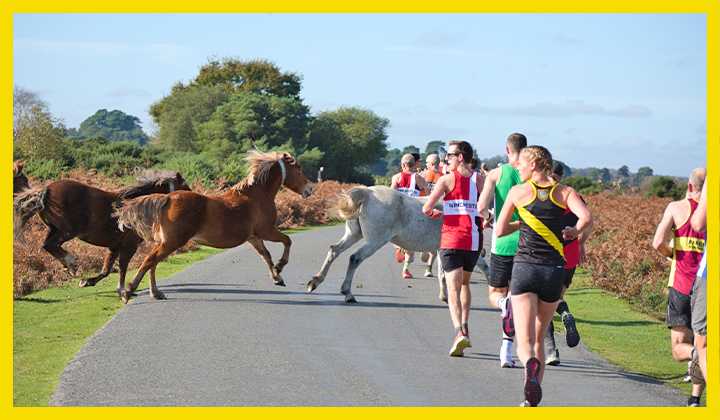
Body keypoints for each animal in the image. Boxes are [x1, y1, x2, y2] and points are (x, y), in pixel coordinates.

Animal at [13, 169, 190, 294]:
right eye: (185, 186)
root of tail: (46, 189)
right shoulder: (129, 245)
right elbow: (123, 266)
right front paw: (122, 289)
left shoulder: (115, 246)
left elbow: (106, 269)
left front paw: (88, 281)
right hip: (67, 231)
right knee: (50, 244)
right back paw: (71, 264)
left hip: (53, 228)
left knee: (47, 244)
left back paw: (69, 266)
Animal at [115, 149, 312, 304]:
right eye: (299, 169)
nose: (309, 189)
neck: (256, 195)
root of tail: (167, 198)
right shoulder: (267, 231)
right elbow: (287, 241)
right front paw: (280, 267)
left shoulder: (254, 237)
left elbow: (266, 255)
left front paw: (277, 277)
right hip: (171, 242)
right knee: (149, 261)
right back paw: (128, 291)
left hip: (163, 242)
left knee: (152, 263)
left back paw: (155, 293)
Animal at [306, 186, 492, 302]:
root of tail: (368, 192)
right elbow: (485, 268)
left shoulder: (442, 250)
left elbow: (442, 273)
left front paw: (445, 297)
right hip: (375, 241)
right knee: (355, 258)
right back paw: (348, 293)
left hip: (353, 235)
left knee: (334, 251)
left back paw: (315, 282)